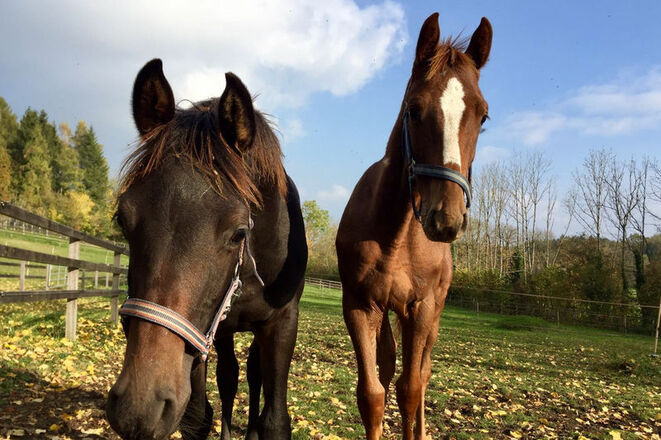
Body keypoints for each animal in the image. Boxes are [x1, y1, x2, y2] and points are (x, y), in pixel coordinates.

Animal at [106, 59, 307, 440]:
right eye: (122, 219)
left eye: (239, 232)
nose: (137, 410)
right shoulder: (207, 331)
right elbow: (198, 415)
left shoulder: (283, 322)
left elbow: (275, 420)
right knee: (230, 376)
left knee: (253, 373)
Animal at [336, 14, 492, 440]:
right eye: (413, 109)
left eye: (483, 116)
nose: (447, 218)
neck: (398, 236)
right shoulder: (360, 306)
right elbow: (372, 393)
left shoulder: (421, 309)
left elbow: (411, 389)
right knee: (391, 366)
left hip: (430, 317)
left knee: (422, 372)